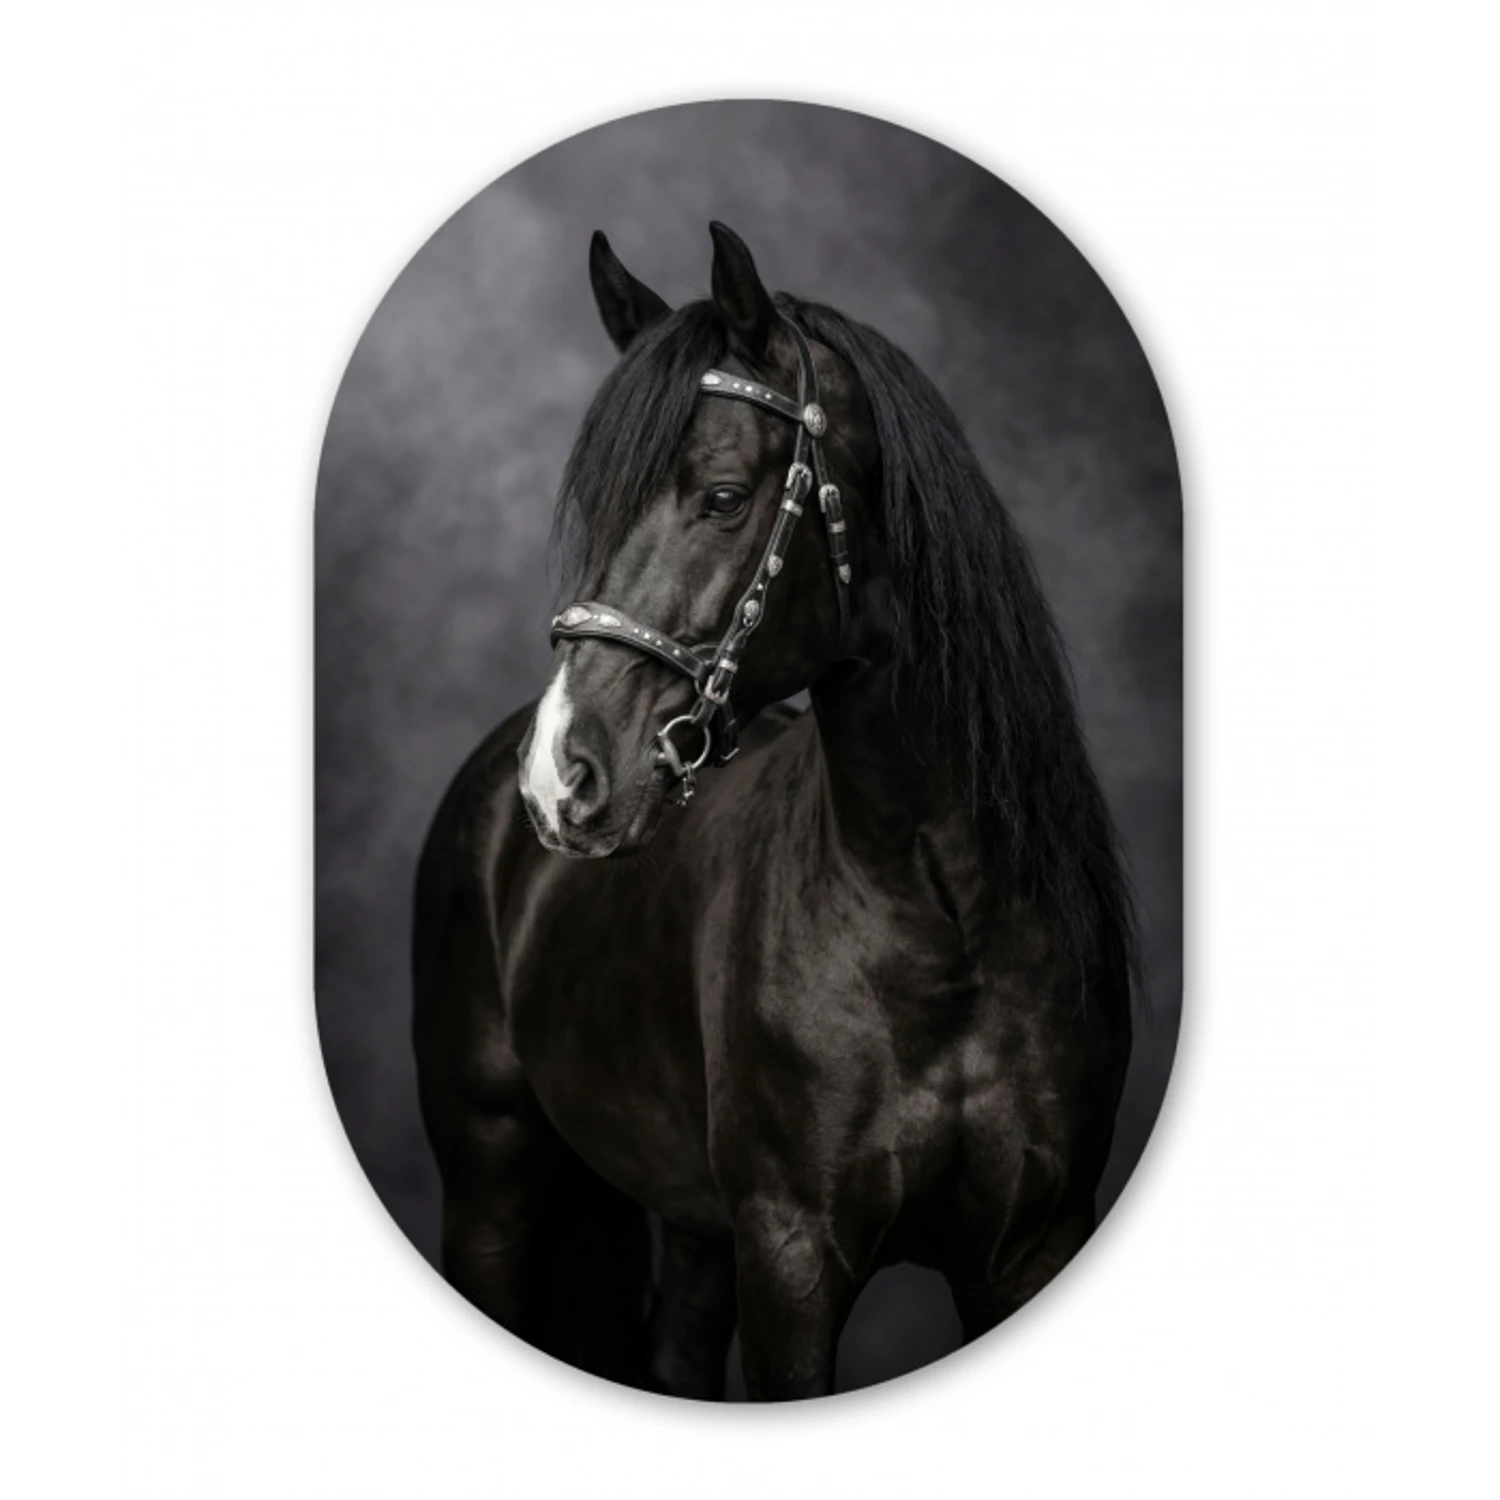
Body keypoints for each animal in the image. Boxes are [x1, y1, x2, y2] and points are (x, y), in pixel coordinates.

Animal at [412, 222, 1137, 1401]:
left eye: (719, 497)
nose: (559, 777)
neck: (944, 915)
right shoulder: (793, 1255)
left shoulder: (1029, 1244)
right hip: (492, 1181)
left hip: (698, 1223)